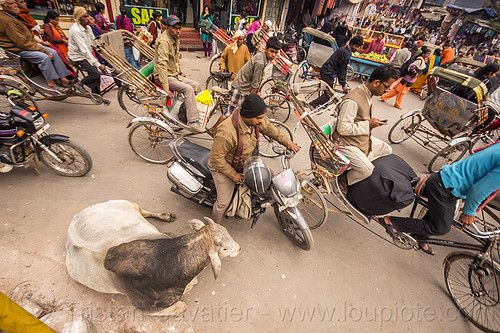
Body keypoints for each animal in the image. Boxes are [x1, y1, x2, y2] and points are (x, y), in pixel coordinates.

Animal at [65, 198, 241, 316]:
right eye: (225, 248)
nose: (239, 248)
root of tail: (74, 219)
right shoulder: (150, 310)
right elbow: (182, 305)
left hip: (129, 205)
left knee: (143, 211)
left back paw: (167, 216)